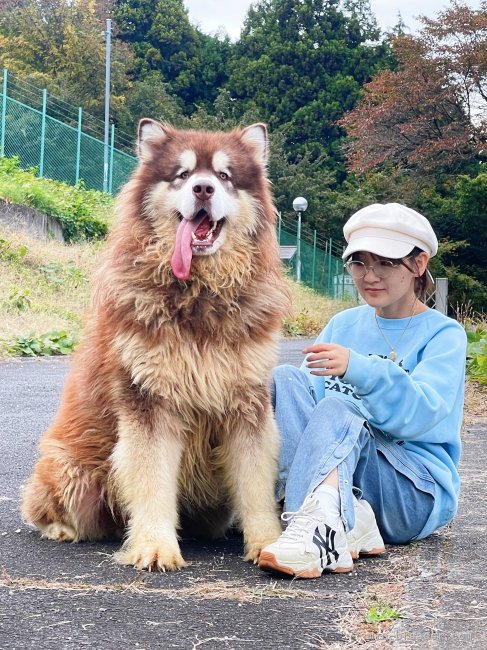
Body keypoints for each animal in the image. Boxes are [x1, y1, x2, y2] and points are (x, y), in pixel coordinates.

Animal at [21, 120, 292, 568]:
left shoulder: (246, 405)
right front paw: (153, 546)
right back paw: (62, 529)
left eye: (224, 176)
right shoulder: (148, 402)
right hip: (73, 473)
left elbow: (255, 484)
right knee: (45, 507)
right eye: (182, 175)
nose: (203, 189)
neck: (199, 295)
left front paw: (268, 541)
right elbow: (150, 482)